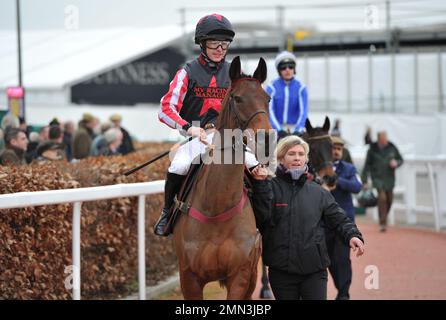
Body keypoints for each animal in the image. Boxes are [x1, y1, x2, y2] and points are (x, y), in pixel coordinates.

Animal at [173, 56, 272, 298]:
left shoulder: (241, 275)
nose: (265, 140)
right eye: (237, 98)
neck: (217, 206)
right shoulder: (188, 277)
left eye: (268, 98)